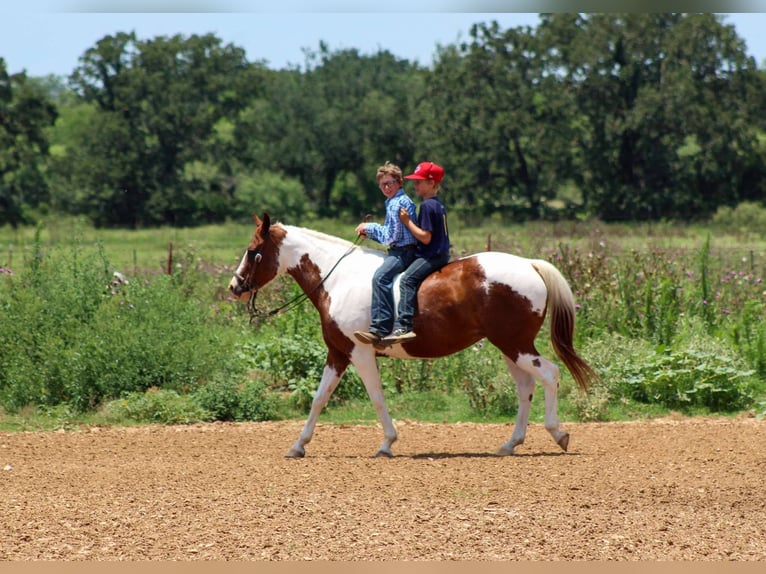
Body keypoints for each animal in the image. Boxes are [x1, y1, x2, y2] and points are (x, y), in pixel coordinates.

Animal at [228, 213, 598, 458]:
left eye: (252, 249)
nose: (235, 287)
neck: (338, 279)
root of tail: (530, 265)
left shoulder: (360, 354)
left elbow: (376, 397)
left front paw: (387, 443)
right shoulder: (338, 353)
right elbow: (320, 398)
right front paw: (298, 445)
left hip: (516, 344)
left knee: (550, 374)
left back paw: (558, 434)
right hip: (510, 348)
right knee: (525, 388)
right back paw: (510, 443)